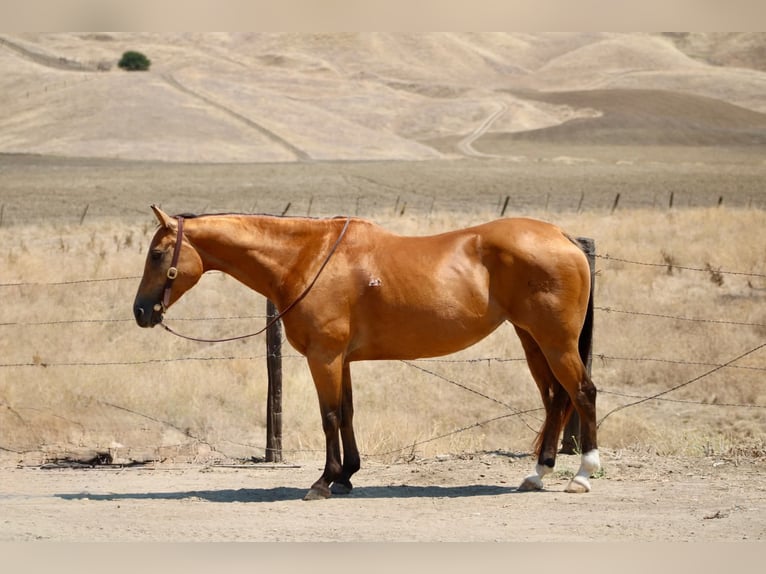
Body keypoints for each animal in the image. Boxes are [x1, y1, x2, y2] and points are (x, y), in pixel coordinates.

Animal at [134, 205, 599, 500]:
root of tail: (561, 236)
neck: (308, 258)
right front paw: (347, 476)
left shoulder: (323, 357)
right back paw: (538, 474)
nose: (140, 311)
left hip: (554, 341)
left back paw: (583, 475)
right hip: (531, 339)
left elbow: (329, 416)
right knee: (556, 399)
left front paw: (324, 481)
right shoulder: (341, 360)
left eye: (156, 254)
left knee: (582, 393)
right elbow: (347, 412)